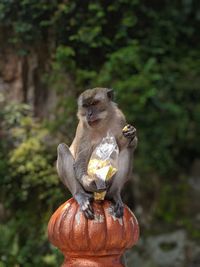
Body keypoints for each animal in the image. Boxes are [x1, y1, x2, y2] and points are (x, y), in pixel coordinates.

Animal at [56, 88, 138, 220]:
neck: (102, 123)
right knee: (62, 148)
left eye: (94, 103)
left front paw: (131, 134)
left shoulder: (120, 118)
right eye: (86, 106)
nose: (89, 114)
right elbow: (80, 161)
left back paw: (114, 194)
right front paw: (89, 182)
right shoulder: (83, 128)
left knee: (127, 150)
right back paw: (80, 195)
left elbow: (125, 145)